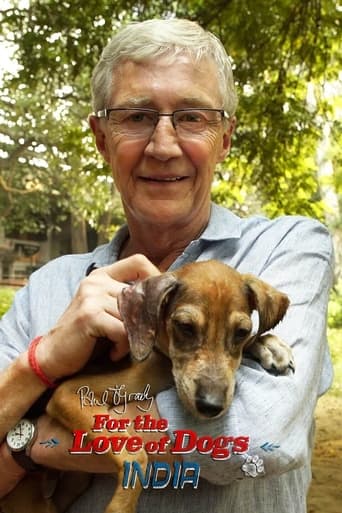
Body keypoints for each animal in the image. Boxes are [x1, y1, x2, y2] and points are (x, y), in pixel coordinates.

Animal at [0, 260, 294, 512]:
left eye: (241, 332)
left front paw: (269, 344)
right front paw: (120, 508)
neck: (162, 356)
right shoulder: (68, 394)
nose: (211, 406)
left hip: (73, 483)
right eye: (185, 326)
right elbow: (136, 454)